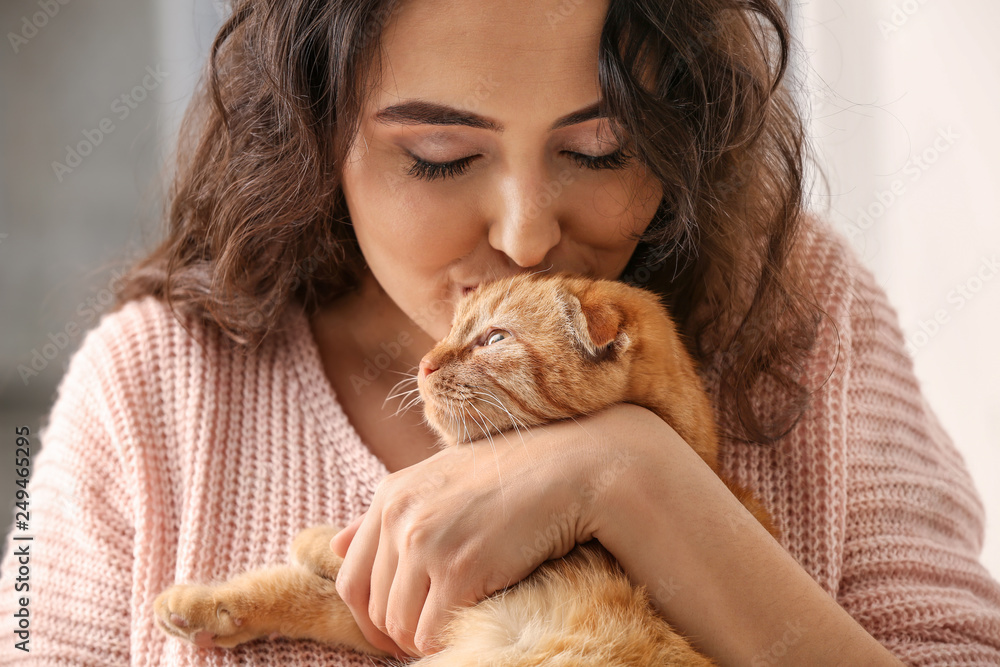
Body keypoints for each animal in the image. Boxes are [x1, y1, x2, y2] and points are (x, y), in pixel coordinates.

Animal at [152, 274, 776, 664]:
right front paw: (207, 606)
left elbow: (324, 584)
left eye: (494, 338)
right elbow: (308, 594)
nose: (424, 362)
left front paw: (323, 543)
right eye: (452, 331)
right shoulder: (408, 623)